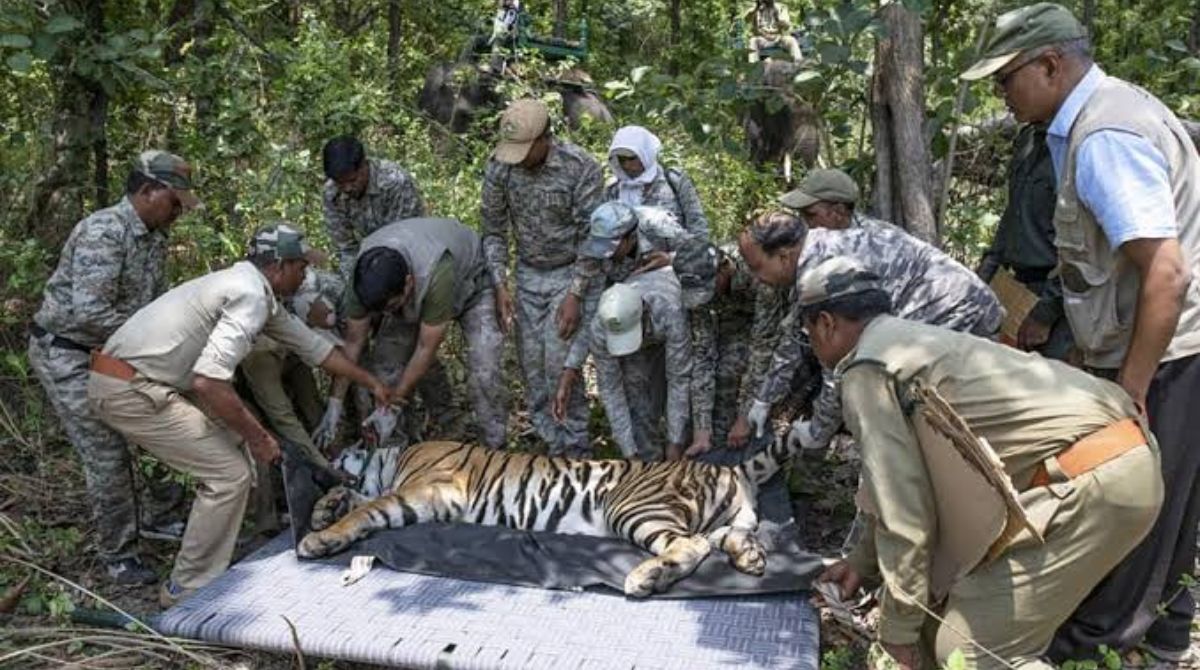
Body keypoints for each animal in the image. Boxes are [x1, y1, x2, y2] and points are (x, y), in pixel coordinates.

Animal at [297, 438, 794, 597]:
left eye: (339, 451)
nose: (319, 465)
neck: (395, 455)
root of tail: (726, 467)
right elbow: (355, 497)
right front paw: (323, 508)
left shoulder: (421, 492)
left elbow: (366, 508)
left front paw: (317, 537)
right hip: (726, 520)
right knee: (723, 539)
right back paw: (750, 558)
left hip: (633, 506)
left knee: (688, 545)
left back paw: (644, 578)